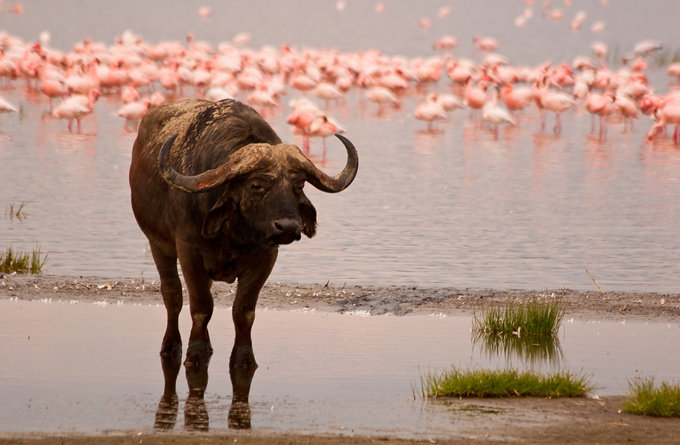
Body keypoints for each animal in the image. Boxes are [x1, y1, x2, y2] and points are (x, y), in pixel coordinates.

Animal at [129, 99, 358, 370]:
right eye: (256, 185)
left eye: (299, 185)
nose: (288, 227)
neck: (232, 235)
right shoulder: (188, 250)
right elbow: (201, 306)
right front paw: (196, 354)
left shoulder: (266, 257)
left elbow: (243, 311)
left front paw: (244, 358)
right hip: (157, 244)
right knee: (172, 295)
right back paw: (171, 346)